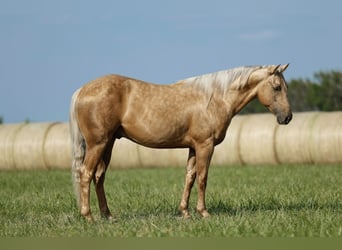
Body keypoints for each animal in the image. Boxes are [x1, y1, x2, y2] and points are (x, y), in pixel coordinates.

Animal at [69, 63, 292, 222]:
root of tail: (82, 90)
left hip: (108, 144)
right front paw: (203, 212)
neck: (214, 98)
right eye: (277, 87)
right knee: (86, 174)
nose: (287, 117)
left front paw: (185, 212)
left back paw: (108, 215)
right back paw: (88, 217)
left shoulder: (193, 147)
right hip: (98, 144)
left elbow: (190, 177)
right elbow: (202, 177)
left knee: (99, 176)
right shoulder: (205, 145)